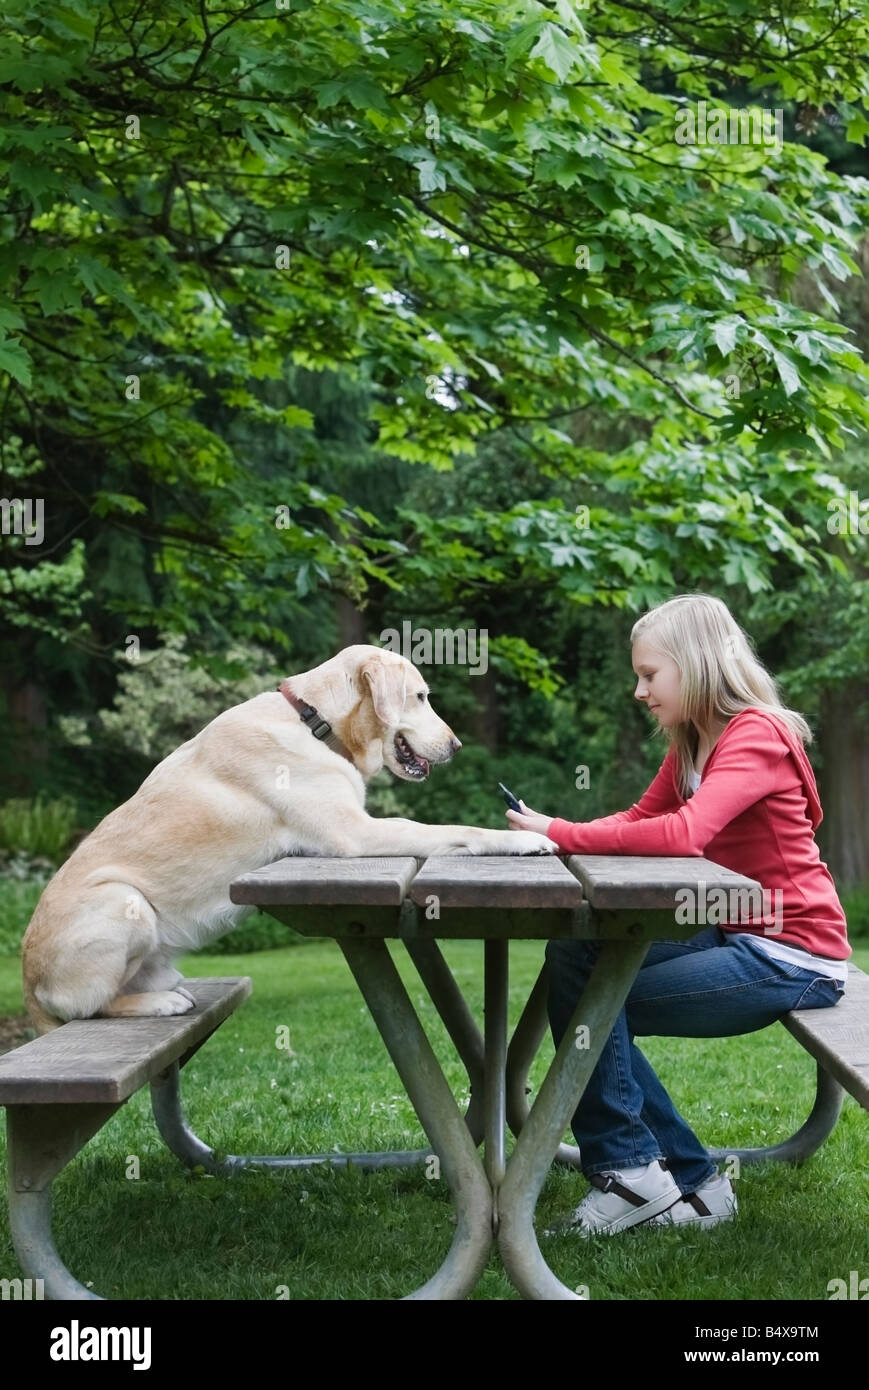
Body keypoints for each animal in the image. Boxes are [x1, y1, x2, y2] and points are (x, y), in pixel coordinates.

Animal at [27, 642, 558, 1034]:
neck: (317, 724)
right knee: (90, 1007)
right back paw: (158, 1004)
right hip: (124, 900)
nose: (457, 745)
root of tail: (29, 986)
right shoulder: (355, 832)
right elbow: (448, 830)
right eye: (421, 697)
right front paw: (521, 840)